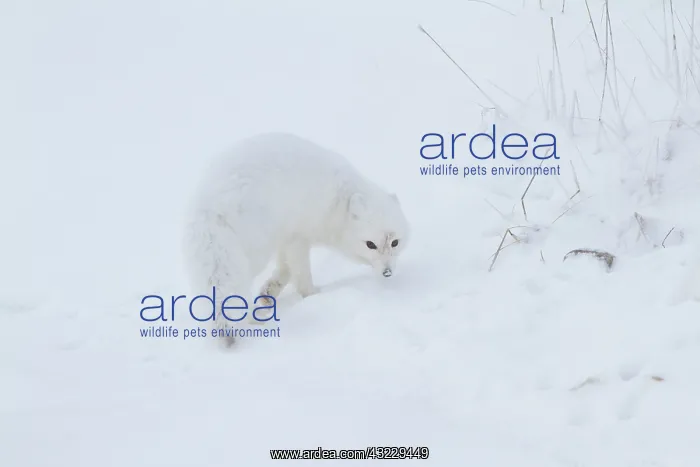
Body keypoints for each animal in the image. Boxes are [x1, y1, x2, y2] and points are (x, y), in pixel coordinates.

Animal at [182, 132, 410, 346]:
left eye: (395, 242)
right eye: (370, 245)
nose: (387, 273)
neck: (337, 202)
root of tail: (210, 208)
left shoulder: (287, 236)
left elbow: (285, 270)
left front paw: (268, 293)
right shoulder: (298, 236)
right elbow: (300, 273)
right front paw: (314, 295)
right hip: (254, 251)